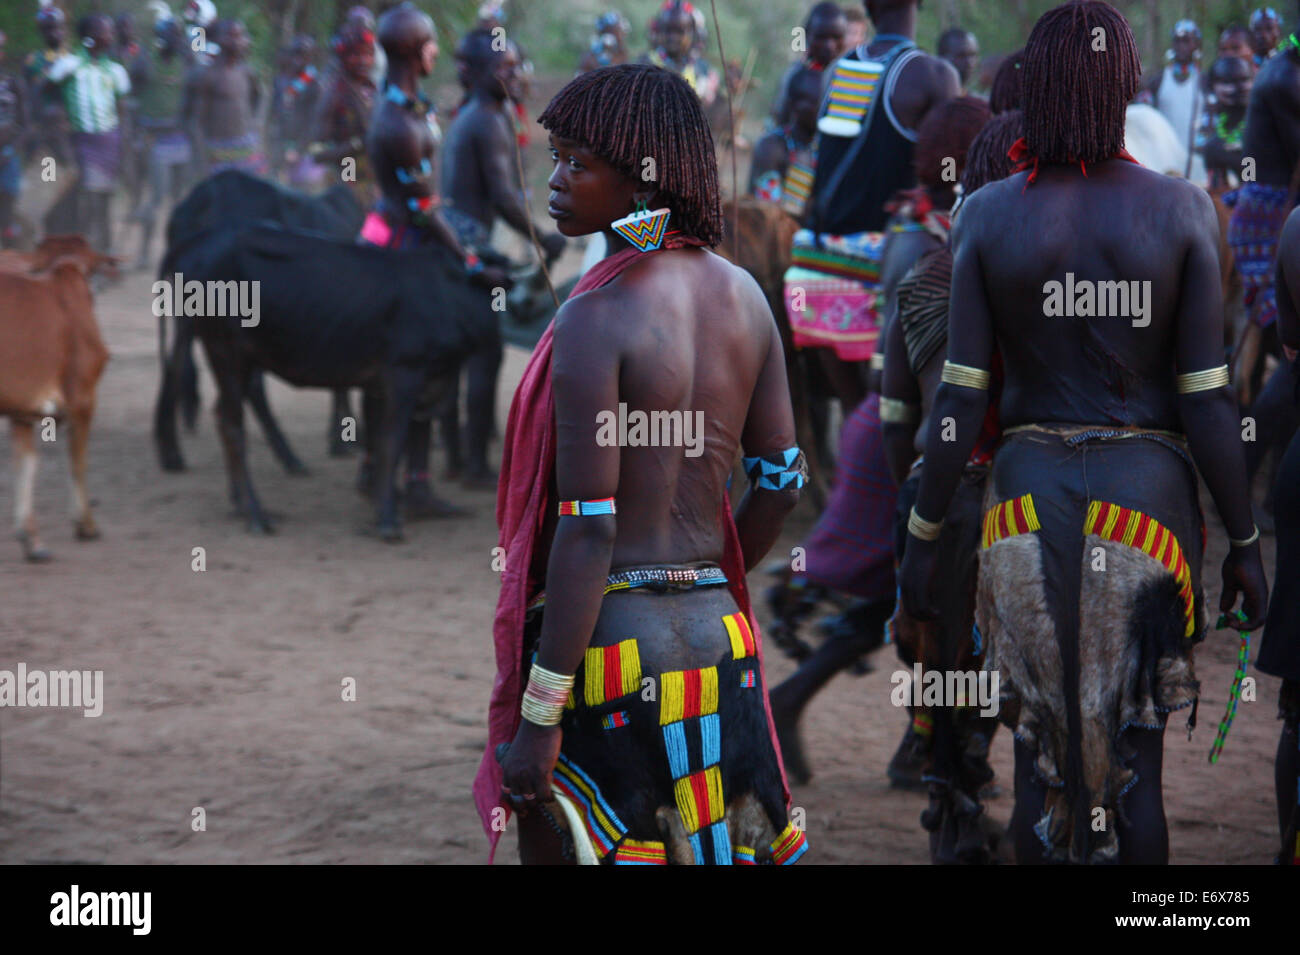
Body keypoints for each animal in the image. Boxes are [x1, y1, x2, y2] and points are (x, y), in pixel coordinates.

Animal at [0, 257, 109, 563]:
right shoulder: (83, 397)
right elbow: (78, 462)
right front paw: (86, 525)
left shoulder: (21, 410)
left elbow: (26, 463)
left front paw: (31, 541)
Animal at [170, 220, 493, 540]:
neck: (451, 292)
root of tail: (195, 250)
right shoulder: (404, 373)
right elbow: (391, 441)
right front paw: (387, 519)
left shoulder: (424, 381)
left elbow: (405, 437)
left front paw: (413, 504)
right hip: (226, 350)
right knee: (232, 424)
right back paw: (255, 514)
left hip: (238, 361)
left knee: (221, 413)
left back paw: (239, 504)